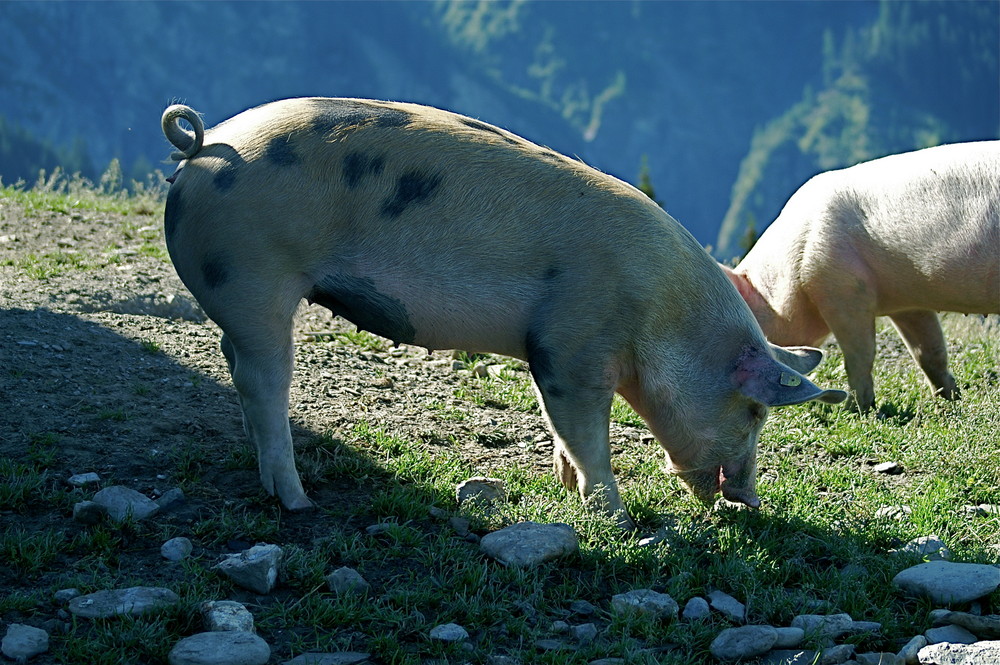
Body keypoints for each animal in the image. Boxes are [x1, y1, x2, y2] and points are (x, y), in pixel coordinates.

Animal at [724, 141, 996, 410]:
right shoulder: (909, 303)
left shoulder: (842, 289)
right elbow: (928, 352)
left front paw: (855, 409)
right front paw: (949, 400)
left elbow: (860, 354)